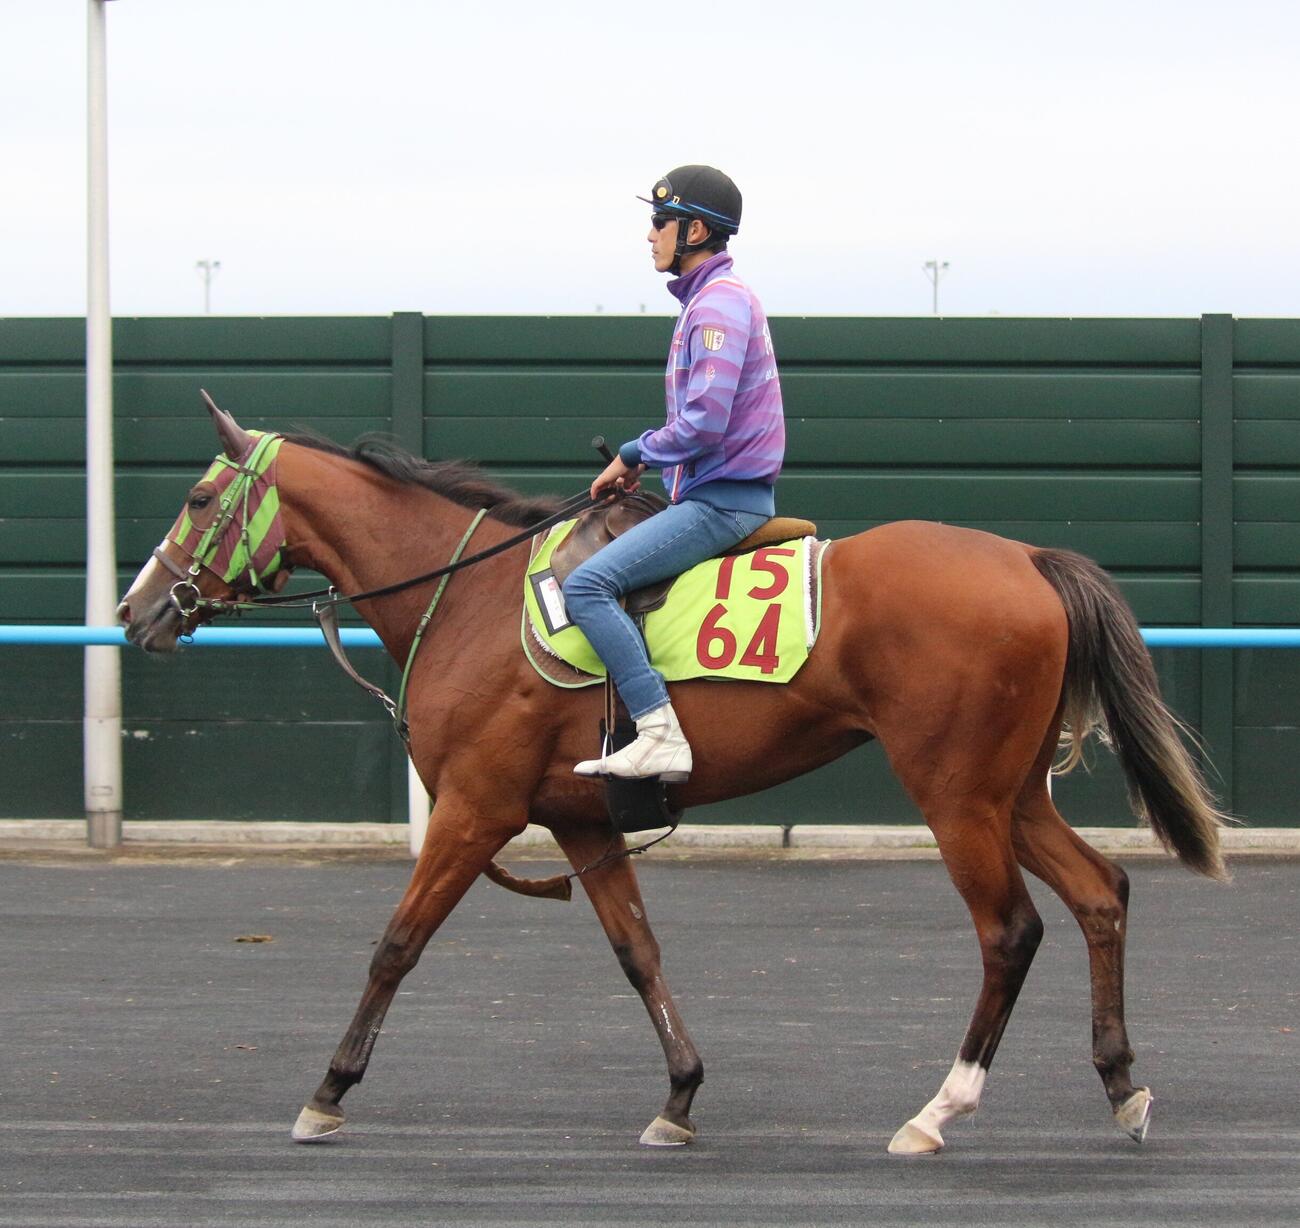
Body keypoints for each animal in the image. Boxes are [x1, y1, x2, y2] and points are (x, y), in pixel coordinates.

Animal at [117, 396, 1228, 1156]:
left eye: (199, 498)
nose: (136, 611)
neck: (470, 597)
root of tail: (1029, 558)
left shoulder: (475, 811)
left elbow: (396, 944)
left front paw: (329, 1090)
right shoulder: (582, 822)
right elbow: (638, 953)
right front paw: (681, 1094)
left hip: (955, 795)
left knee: (1010, 931)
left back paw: (936, 1109)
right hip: (1009, 792)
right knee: (1100, 893)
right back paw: (1121, 1084)